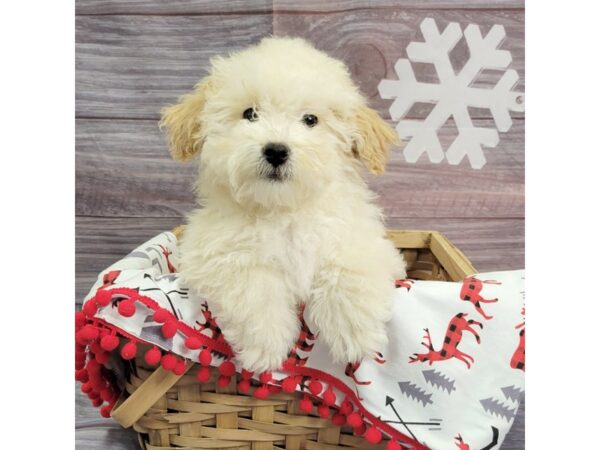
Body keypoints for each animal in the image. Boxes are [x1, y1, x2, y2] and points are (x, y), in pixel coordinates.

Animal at [159, 37, 406, 370]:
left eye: (310, 120)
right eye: (250, 113)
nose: (276, 150)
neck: (282, 211)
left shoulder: (363, 240)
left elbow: (347, 267)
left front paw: (355, 334)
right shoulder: (213, 254)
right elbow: (254, 286)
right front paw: (266, 347)